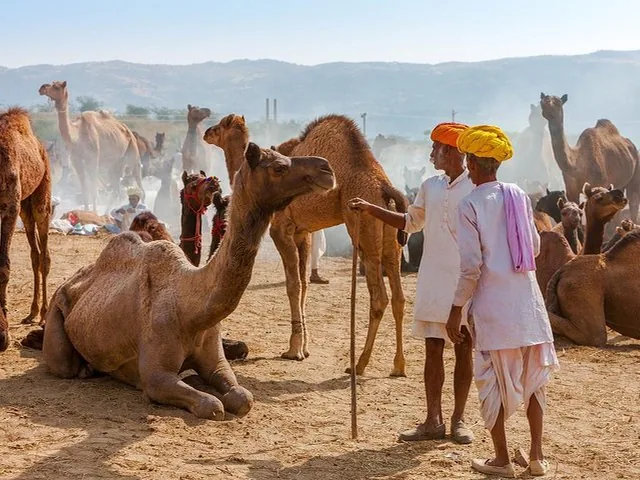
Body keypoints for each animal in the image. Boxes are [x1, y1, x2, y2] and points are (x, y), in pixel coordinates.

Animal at [33, 142, 334, 418]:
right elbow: (211, 406)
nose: (327, 169)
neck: (190, 308)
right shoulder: (156, 376)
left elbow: (242, 398)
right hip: (57, 317)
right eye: (279, 167)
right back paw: (84, 368)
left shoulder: (216, 358)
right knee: (64, 364)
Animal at [39, 81, 144, 212]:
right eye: (52, 83)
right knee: (116, 190)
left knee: (140, 187)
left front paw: (94, 213)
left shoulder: (93, 159)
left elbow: (94, 191)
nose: (42, 88)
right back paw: (107, 213)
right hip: (117, 163)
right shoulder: (76, 161)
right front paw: (87, 212)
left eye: (57, 86)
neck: (77, 135)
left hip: (133, 154)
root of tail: (127, 129)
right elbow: (85, 190)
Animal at [205, 114, 408, 376]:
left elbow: (294, 286)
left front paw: (293, 350)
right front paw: (304, 347)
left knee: (379, 297)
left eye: (220, 126)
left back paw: (359, 363)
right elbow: (304, 285)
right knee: (399, 297)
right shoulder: (303, 233)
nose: (206, 132)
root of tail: (384, 187)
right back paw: (398, 366)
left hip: (364, 229)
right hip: (391, 235)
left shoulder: (280, 229)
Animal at [540, 92, 640, 223]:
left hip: (635, 172)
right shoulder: (571, 190)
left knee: (633, 202)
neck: (577, 166)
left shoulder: (601, 185)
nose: (546, 103)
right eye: (542, 100)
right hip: (620, 183)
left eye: (557, 102)